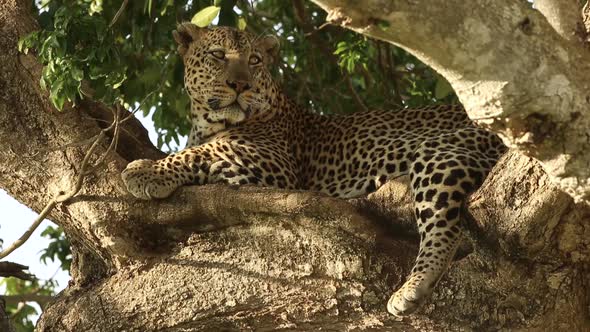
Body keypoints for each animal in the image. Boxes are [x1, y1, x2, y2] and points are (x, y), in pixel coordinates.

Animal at [121, 23, 508, 316]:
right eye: (218, 55)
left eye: (254, 60)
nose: (240, 85)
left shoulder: (270, 162)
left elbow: (199, 151)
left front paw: (146, 170)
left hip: (441, 149)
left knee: (445, 228)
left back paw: (410, 289)